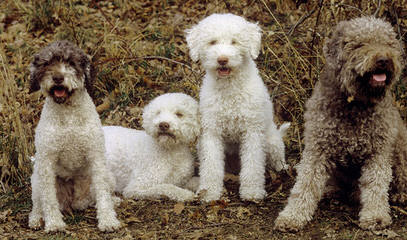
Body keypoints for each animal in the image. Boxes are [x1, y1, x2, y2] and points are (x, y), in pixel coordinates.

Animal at [28, 41, 120, 232]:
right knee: (38, 203)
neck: (68, 116)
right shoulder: (46, 161)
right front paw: (54, 223)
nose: (58, 78)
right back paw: (36, 218)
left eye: (71, 62)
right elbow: (49, 198)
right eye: (47, 63)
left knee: (99, 195)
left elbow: (102, 193)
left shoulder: (96, 156)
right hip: (36, 179)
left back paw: (112, 201)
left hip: (108, 175)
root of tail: (73, 201)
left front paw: (108, 220)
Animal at [186, 12, 292, 202]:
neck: (230, 89)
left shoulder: (252, 132)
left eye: (234, 41)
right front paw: (209, 192)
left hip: (271, 143)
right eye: (212, 42)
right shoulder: (211, 132)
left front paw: (252, 192)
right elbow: (211, 165)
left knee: (277, 160)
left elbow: (253, 165)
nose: (222, 60)